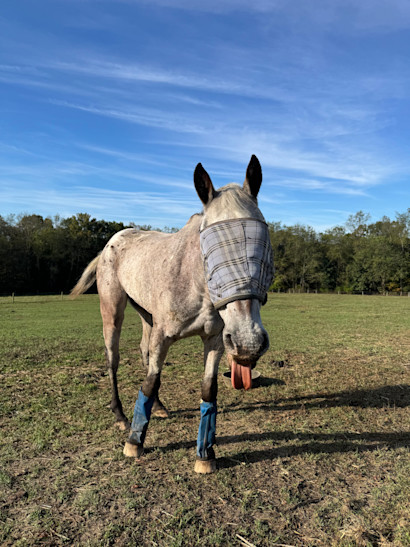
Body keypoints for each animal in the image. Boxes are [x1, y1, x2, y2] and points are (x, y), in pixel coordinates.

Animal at [71, 155, 274, 473]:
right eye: (208, 250)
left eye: (263, 242)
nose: (248, 343)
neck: (196, 286)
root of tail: (112, 242)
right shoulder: (163, 336)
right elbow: (150, 381)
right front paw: (134, 443)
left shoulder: (215, 341)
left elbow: (208, 390)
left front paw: (205, 454)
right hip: (113, 310)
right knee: (113, 358)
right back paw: (120, 416)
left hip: (146, 315)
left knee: (143, 351)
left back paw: (159, 407)